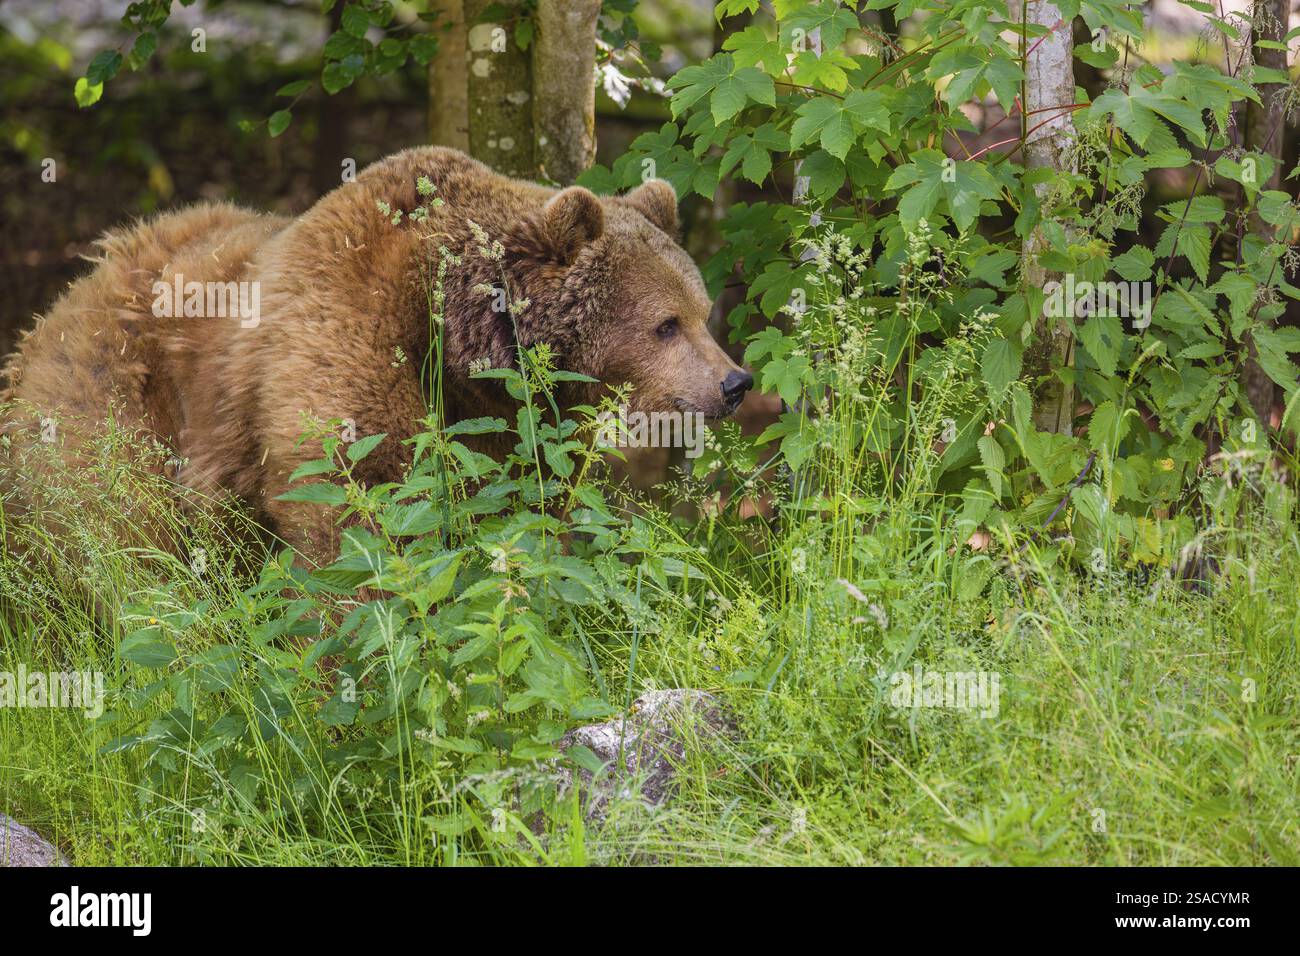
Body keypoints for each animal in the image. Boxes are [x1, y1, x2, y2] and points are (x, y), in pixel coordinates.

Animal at [1, 146, 753, 565]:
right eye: (664, 324)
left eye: (702, 312)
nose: (735, 382)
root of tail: (68, 293)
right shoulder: (348, 338)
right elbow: (360, 505)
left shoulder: (507, 425)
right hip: (117, 399)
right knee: (121, 538)